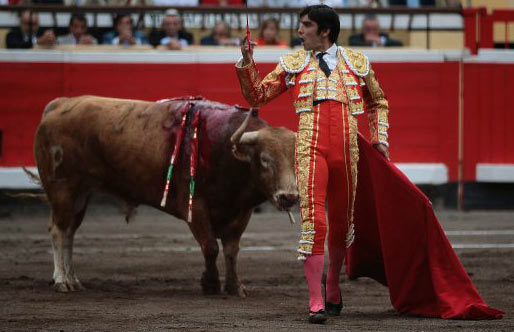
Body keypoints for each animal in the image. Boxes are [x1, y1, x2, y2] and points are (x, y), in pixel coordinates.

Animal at [33, 95, 296, 296]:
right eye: (265, 160)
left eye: (296, 160)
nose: (289, 196)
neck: (224, 150)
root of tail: (58, 105)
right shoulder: (194, 206)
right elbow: (210, 246)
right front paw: (210, 284)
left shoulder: (241, 212)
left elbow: (231, 251)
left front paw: (234, 287)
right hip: (62, 189)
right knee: (58, 230)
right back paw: (62, 281)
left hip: (81, 194)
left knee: (69, 232)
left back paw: (74, 280)